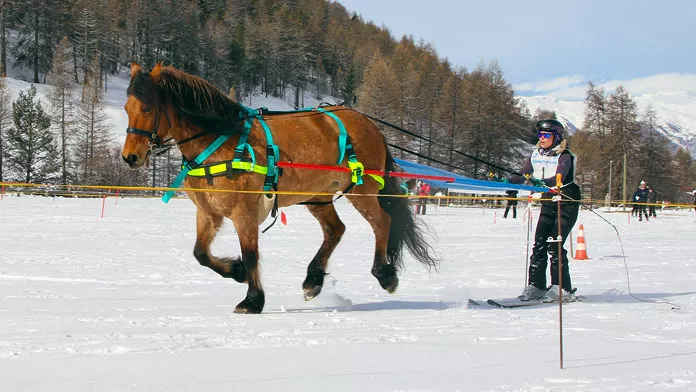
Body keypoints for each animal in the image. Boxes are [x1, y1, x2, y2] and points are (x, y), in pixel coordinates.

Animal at [119, 62, 436, 314]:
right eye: (127, 108)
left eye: (147, 107)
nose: (130, 156)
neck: (221, 140)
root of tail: (370, 125)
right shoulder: (208, 213)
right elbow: (200, 254)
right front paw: (236, 271)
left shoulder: (244, 212)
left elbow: (251, 254)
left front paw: (252, 299)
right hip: (317, 196)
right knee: (335, 230)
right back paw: (313, 280)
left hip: (362, 190)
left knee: (382, 222)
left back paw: (384, 274)